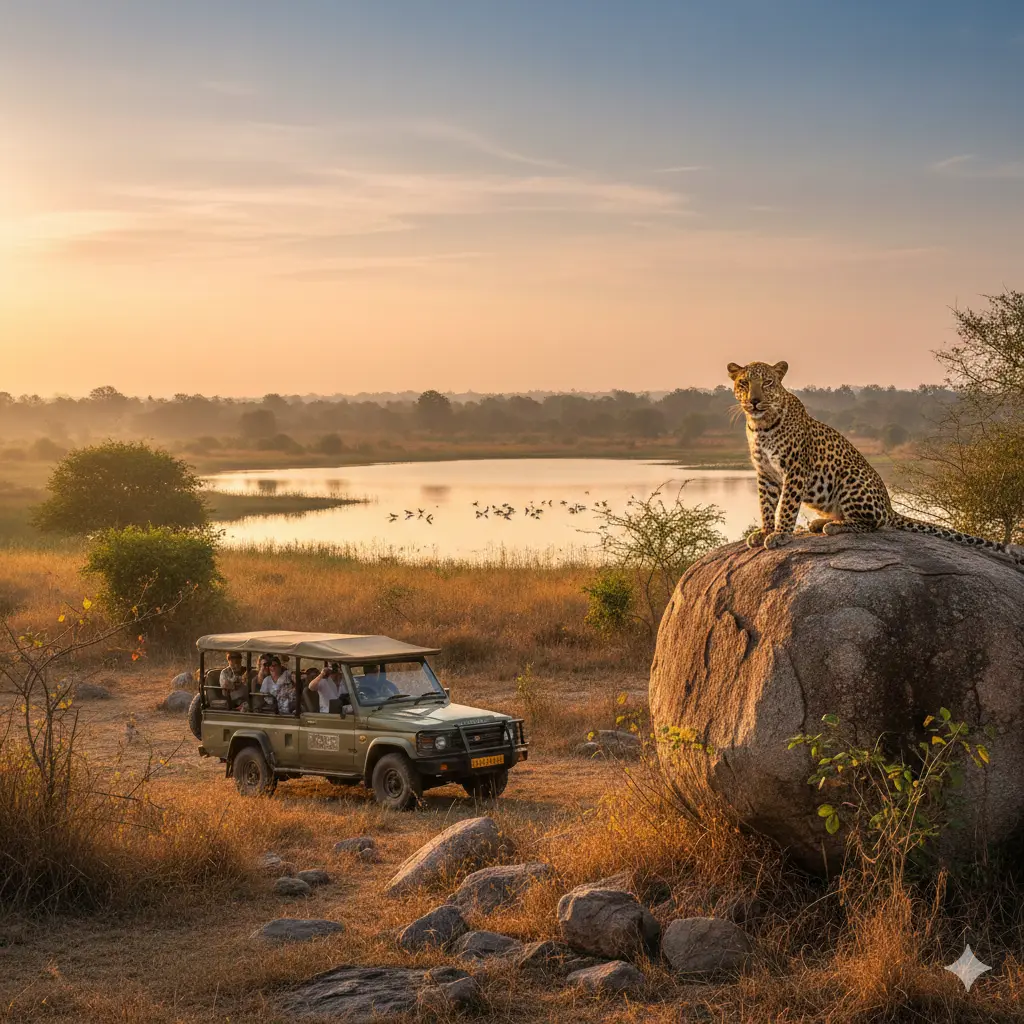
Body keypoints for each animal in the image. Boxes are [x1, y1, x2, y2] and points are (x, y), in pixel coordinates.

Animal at [728, 359, 1024, 566]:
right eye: (744, 383)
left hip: (851, 479)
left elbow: (787, 506)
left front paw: (780, 534)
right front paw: (764, 531)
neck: (760, 426)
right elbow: (766, 505)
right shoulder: (765, 473)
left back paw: (832, 526)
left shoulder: (795, 470)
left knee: (873, 523)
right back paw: (820, 523)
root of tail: (890, 506)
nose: (754, 401)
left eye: (767, 383)